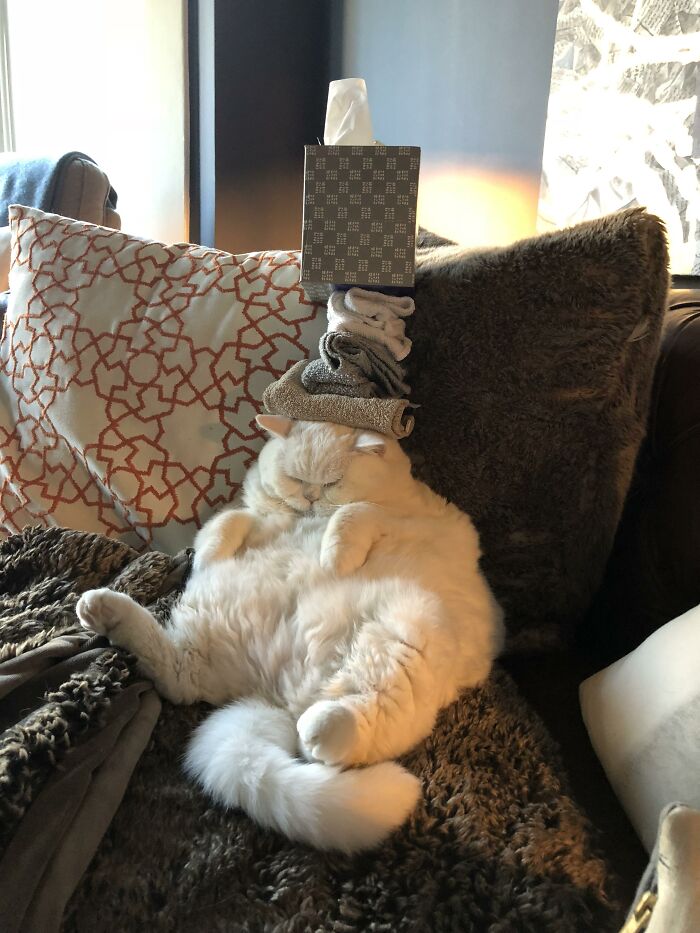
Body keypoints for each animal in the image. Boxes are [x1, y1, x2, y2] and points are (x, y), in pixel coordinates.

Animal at [76, 418, 504, 856]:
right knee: (177, 676)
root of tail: (280, 696)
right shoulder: (246, 518)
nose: (311, 497)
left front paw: (335, 558)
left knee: (361, 718)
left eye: (331, 482)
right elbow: (226, 525)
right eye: (296, 478)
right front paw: (210, 554)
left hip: (409, 636)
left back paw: (320, 728)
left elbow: (356, 513)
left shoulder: (396, 520)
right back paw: (100, 608)